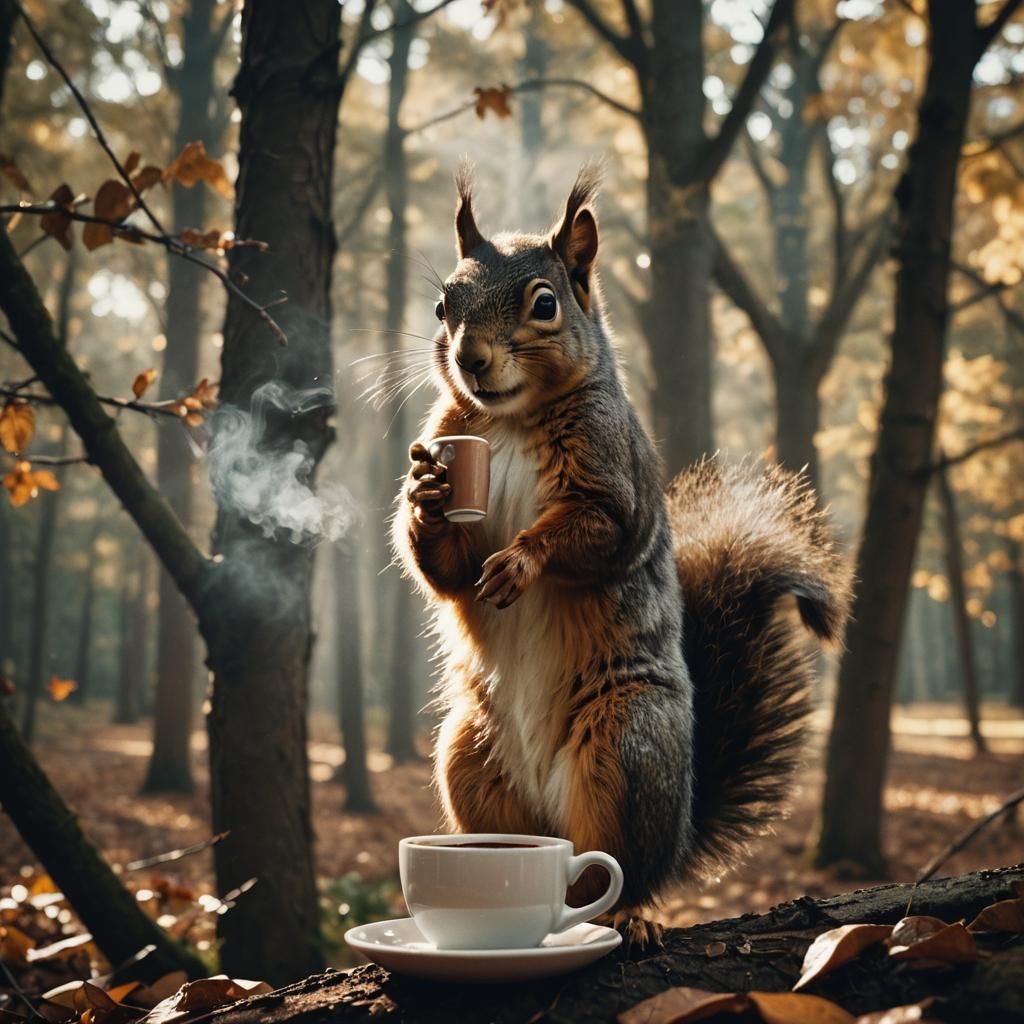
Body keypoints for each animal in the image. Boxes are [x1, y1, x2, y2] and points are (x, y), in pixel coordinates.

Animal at [392, 167, 853, 944]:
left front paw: (521, 560)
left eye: (544, 304)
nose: (470, 359)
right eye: (441, 304)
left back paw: (627, 915)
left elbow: (596, 532)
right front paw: (426, 495)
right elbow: (445, 572)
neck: (508, 421)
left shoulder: (619, 484)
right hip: (468, 754)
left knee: (620, 870)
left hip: (627, 747)